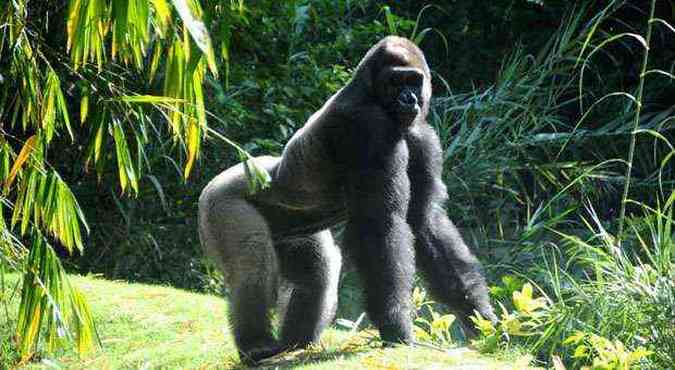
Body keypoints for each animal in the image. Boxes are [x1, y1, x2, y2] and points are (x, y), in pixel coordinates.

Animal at [198, 36, 500, 362]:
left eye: (413, 81)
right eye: (395, 81)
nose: (408, 99)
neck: (370, 92)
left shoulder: (423, 136)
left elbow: (424, 222)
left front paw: (479, 316)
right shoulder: (368, 127)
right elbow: (380, 226)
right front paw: (395, 326)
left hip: (289, 230)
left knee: (318, 271)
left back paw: (295, 343)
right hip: (219, 202)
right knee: (253, 262)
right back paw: (257, 344)